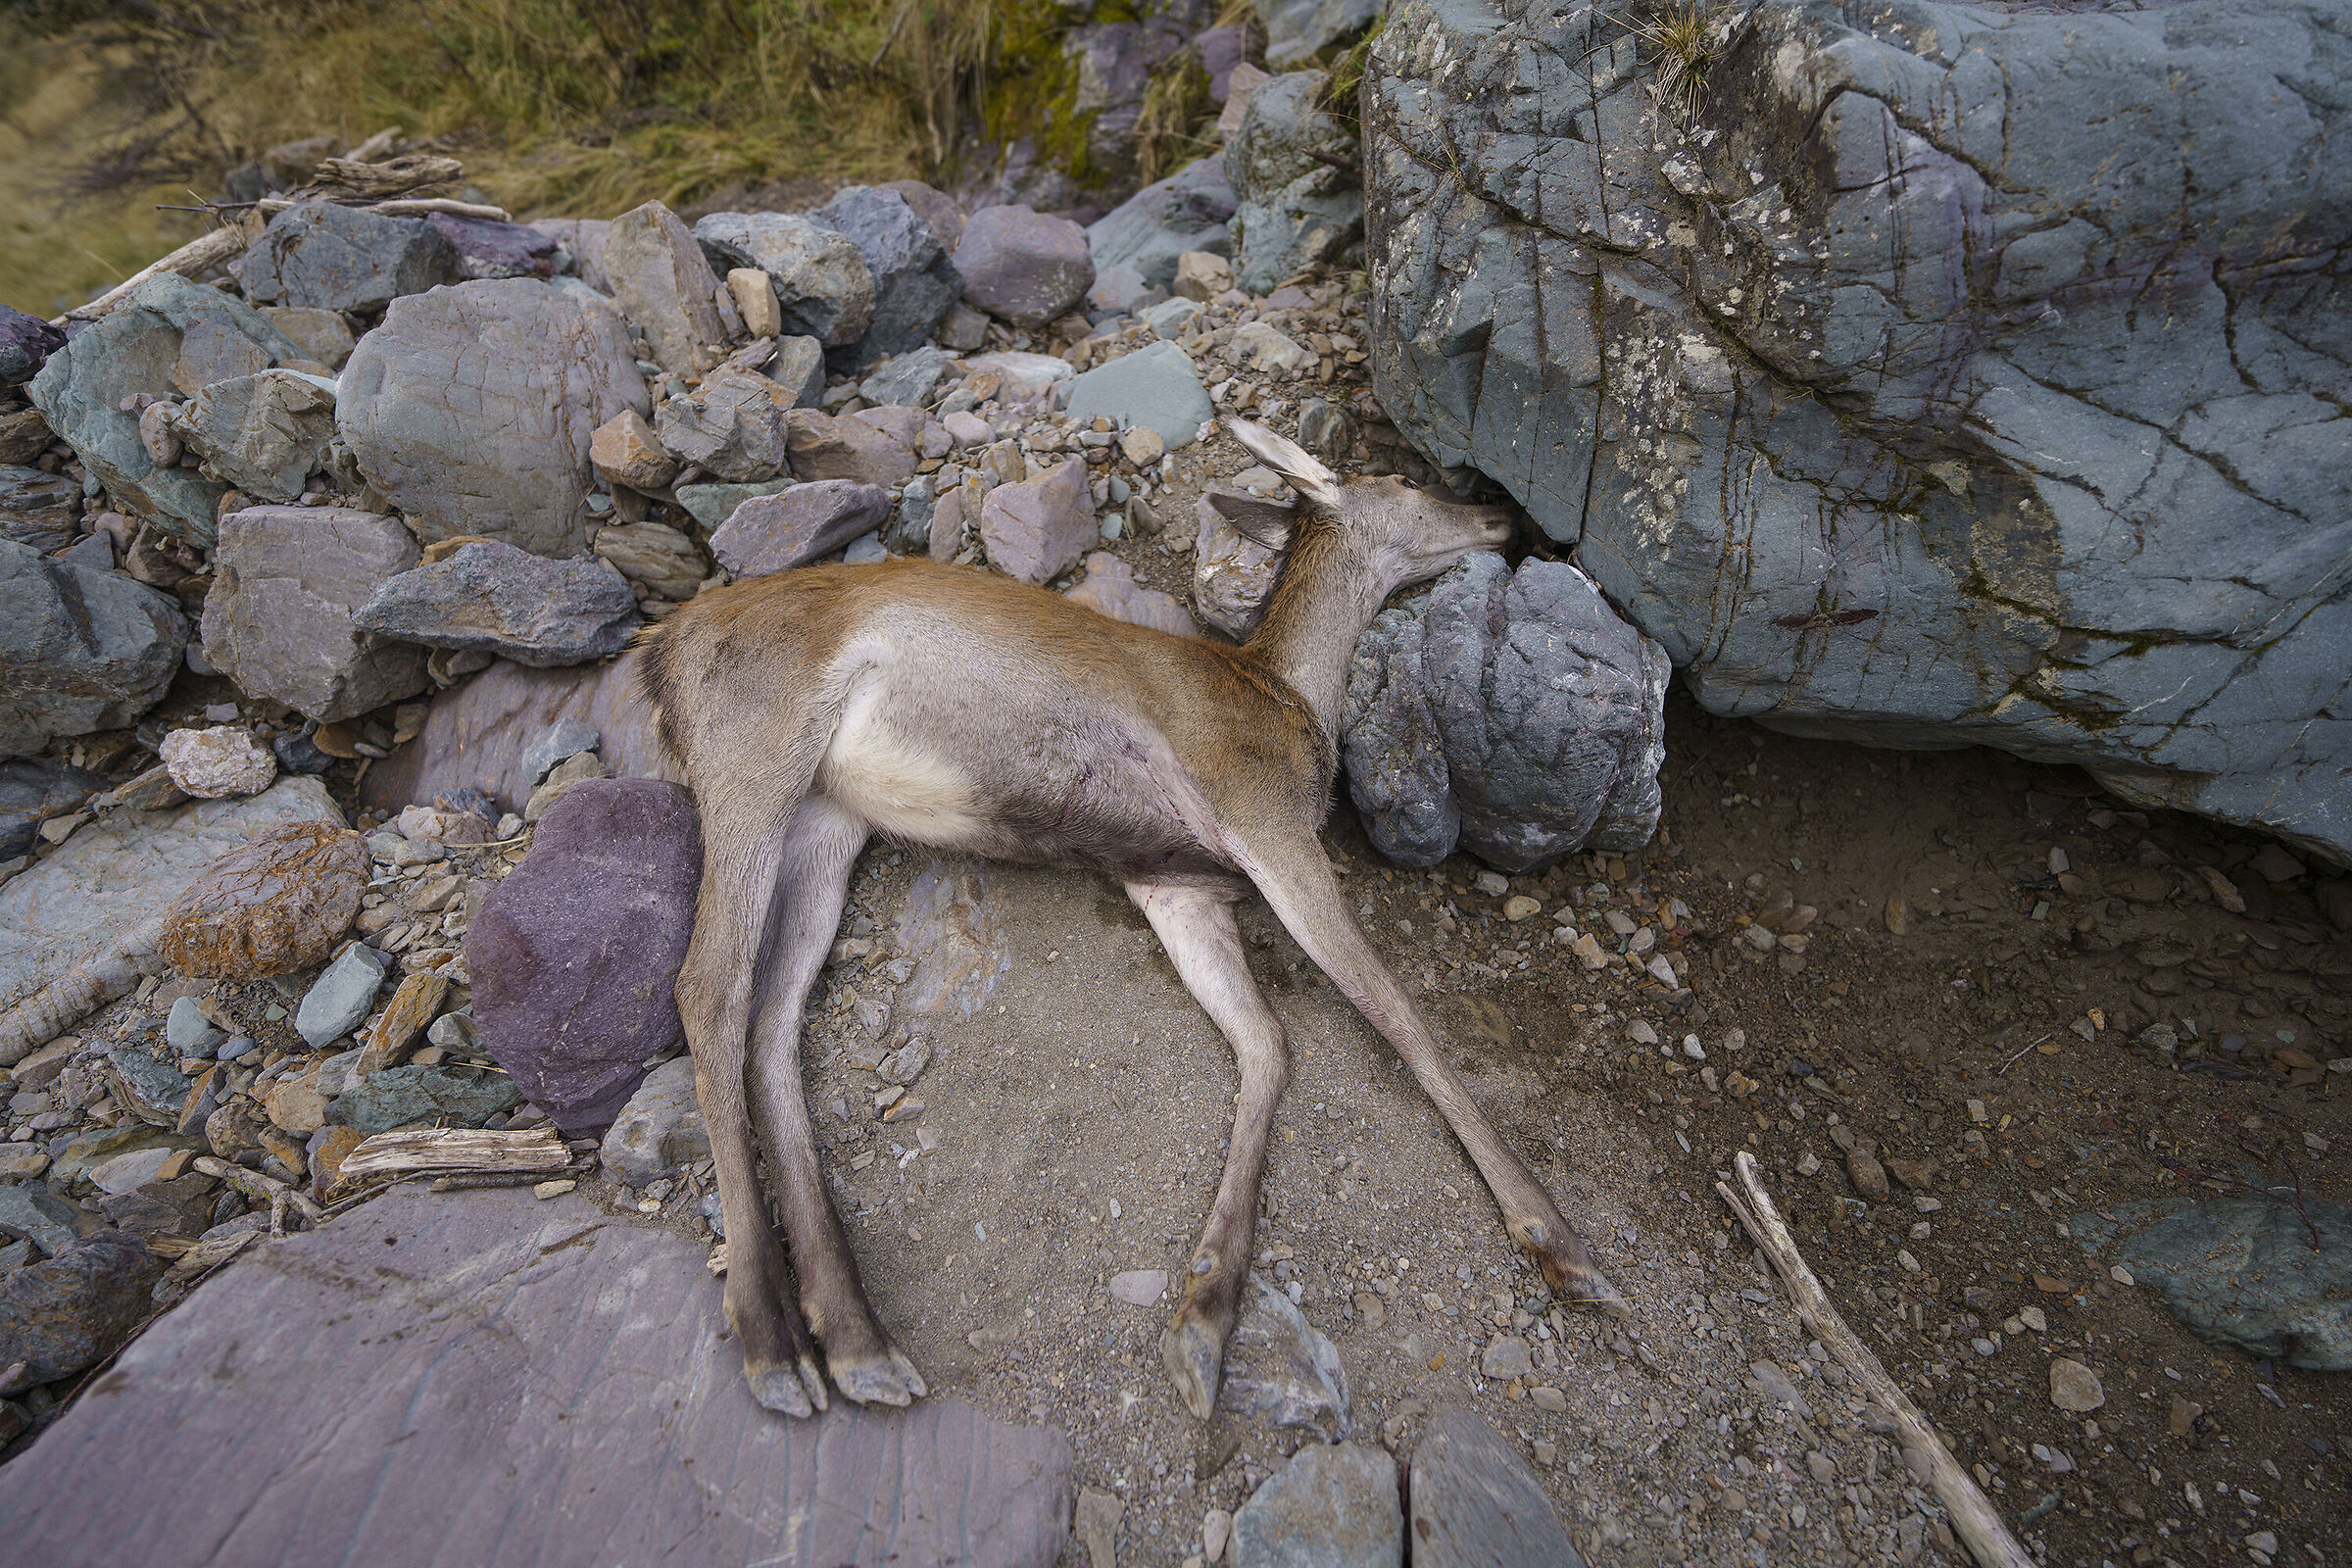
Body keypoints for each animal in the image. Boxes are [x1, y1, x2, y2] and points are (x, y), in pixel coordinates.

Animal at [632, 417, 1631, 1420]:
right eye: (1404, 479)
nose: (1503, 515)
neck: (1290, 699)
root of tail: (660, 650)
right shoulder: (1261, 814)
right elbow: (1395, 1012)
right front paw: (1563, 1246)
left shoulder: (1174, 884)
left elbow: (1267, 1041)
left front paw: (1205, 1316)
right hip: (753, 752)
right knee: (708, 988)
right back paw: (775, 1346)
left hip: (827, 820)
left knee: (773, 1017)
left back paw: (855, 1341)